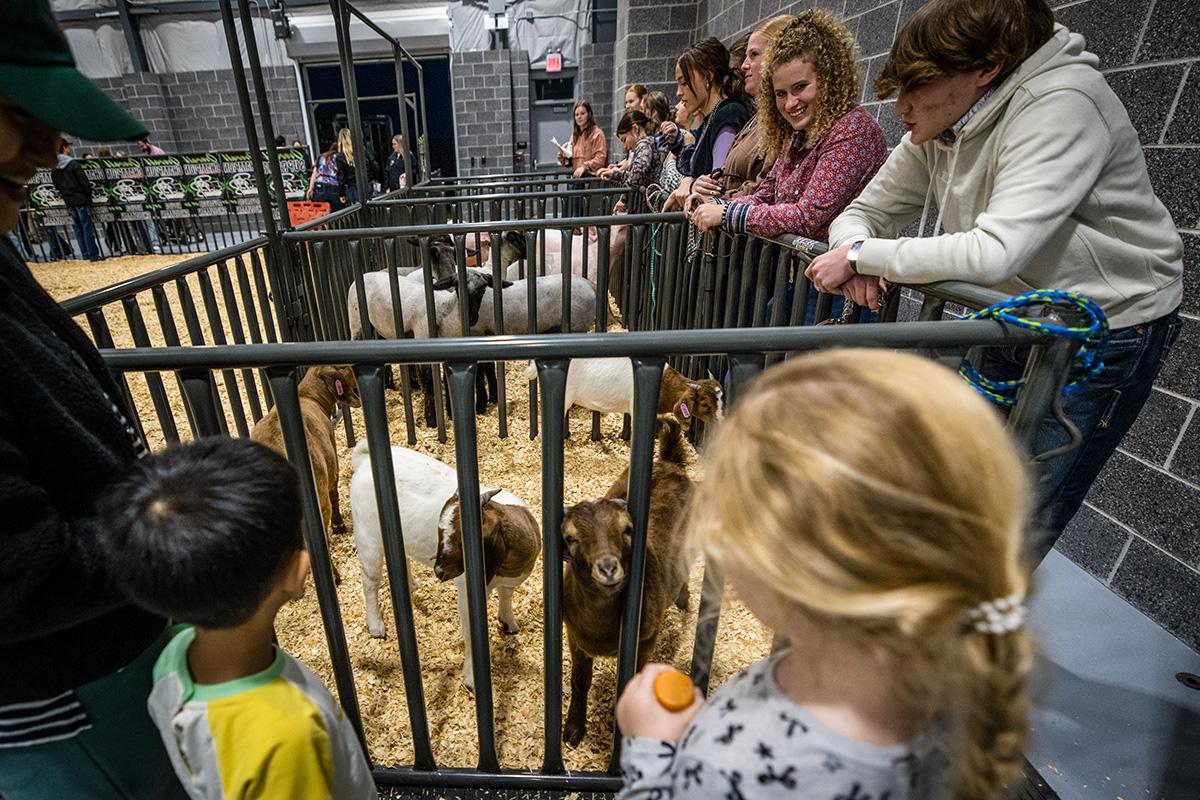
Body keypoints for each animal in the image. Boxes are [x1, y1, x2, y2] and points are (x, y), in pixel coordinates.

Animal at [249, 364, 357, 582]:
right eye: (345, 368)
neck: (307, 394)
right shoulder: (333, 467)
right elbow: (335, 494)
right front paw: (339, 526)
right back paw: (334, 576)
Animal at [350, 441, 542, 690]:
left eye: (464, 539)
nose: (439, 571)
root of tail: (363, 459)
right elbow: (471, 631)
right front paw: (472, 677)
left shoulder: (508, 580)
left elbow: (506, 595)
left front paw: (508, 621)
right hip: (368, 536)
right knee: (370, 581)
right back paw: (375, 625)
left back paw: (410, 584)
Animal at [561, 422, 696, 748]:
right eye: (570, 538)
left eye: (627, 530)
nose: (608, 568)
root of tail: (671, 461)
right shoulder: (575, 636)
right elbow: (579, 682)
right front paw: (573, 729)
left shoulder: (645, 640)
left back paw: (684, 598)